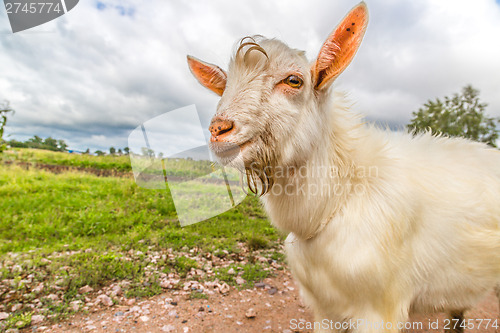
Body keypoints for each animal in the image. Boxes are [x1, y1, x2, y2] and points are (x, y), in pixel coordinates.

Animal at [188, 1, 500, 330]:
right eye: (224, 88)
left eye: (294, 80)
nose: (219, 129)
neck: (340, 197)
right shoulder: (324, 308)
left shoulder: (380, 310)